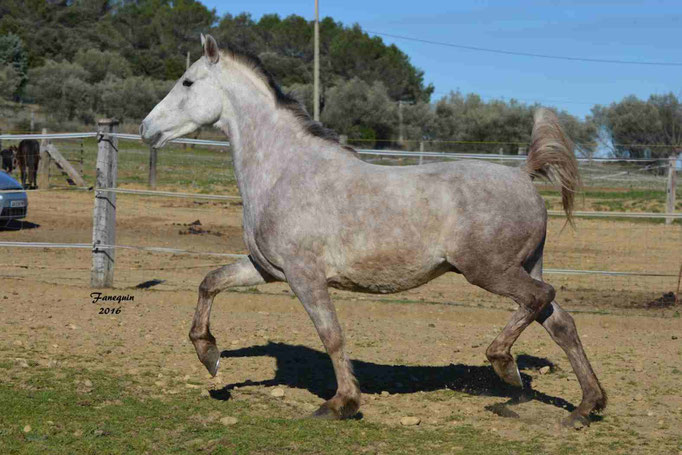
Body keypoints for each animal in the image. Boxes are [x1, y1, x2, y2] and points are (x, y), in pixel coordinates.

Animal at [141, 34, 604, 428]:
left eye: (187, 81)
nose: (147, 129)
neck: (284, 171)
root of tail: (523, 175)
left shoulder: (304, 276)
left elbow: (331, 335)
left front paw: (341, 404)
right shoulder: (267, 268)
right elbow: (209, 282)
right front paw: (209, 354)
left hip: (489, 270)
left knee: (539, 300)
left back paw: (506, 367)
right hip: (525, 265)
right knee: (560, 322)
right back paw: (585, 408)